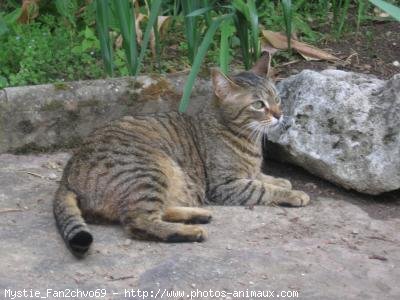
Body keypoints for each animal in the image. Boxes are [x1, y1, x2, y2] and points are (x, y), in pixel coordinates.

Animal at [53, 52, 310, 256]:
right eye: (258, 105)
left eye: (277, 98)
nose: (279, 114)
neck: (247, 139)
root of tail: (67, 175)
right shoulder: (225, 185)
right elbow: (262, 189)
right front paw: (293, 193)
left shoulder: (247, 173)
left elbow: (263, 178)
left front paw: (281, 181)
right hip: (151, 169)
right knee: (138, 221)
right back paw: (191, 230)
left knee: (158, 210)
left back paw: (197, 215)